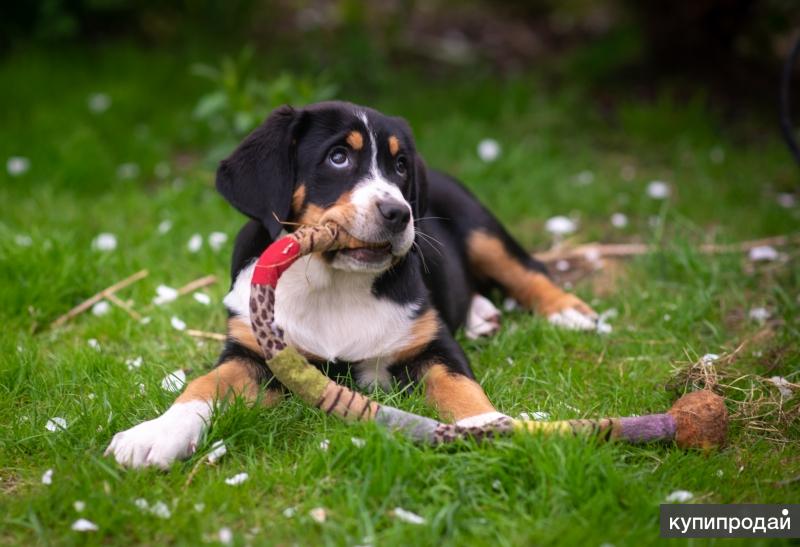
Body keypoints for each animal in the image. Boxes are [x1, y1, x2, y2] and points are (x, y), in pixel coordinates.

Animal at [104, 100, 592, 468]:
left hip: (479, 226)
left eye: (399, 166)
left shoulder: (433, 346)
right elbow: (204, 385)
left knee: (526, 268)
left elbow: (461, 387)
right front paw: (154, 434)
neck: (332, 284)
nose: (398, 214)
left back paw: (569, 312)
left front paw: (485, 426)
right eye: (338, 157)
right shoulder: (253, 353)